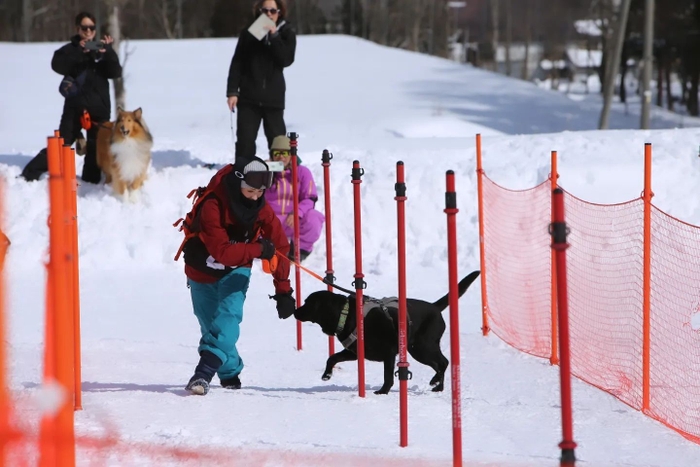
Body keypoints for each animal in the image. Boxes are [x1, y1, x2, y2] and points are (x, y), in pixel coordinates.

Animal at [294, 270, 482, 394]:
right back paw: (438, 386)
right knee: (439, 364)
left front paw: (383, 391)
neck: (345, 315)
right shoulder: (355, 352)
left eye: (307, 303)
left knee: (443, 362)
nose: (295, 311)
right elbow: (332, 358)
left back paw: (436, 382)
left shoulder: (389, 352)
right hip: (418, 349)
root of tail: (435, 307)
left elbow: (388, 376)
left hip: (422, 347)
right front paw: (327, 375)